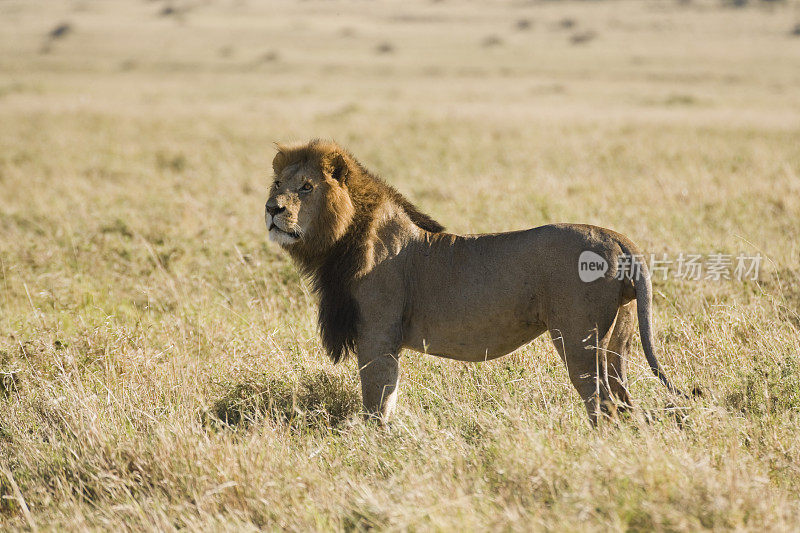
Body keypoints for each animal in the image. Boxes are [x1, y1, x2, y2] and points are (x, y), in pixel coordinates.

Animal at [262, 139, 688, 422]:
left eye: (306, 187)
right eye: (278, 184)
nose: (271, 209)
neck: (342, 237)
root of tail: (619, 239)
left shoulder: (377, 335)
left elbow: (377, 402)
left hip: (580, 338)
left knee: (603, 403)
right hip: (619, 339)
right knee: (624, 402)